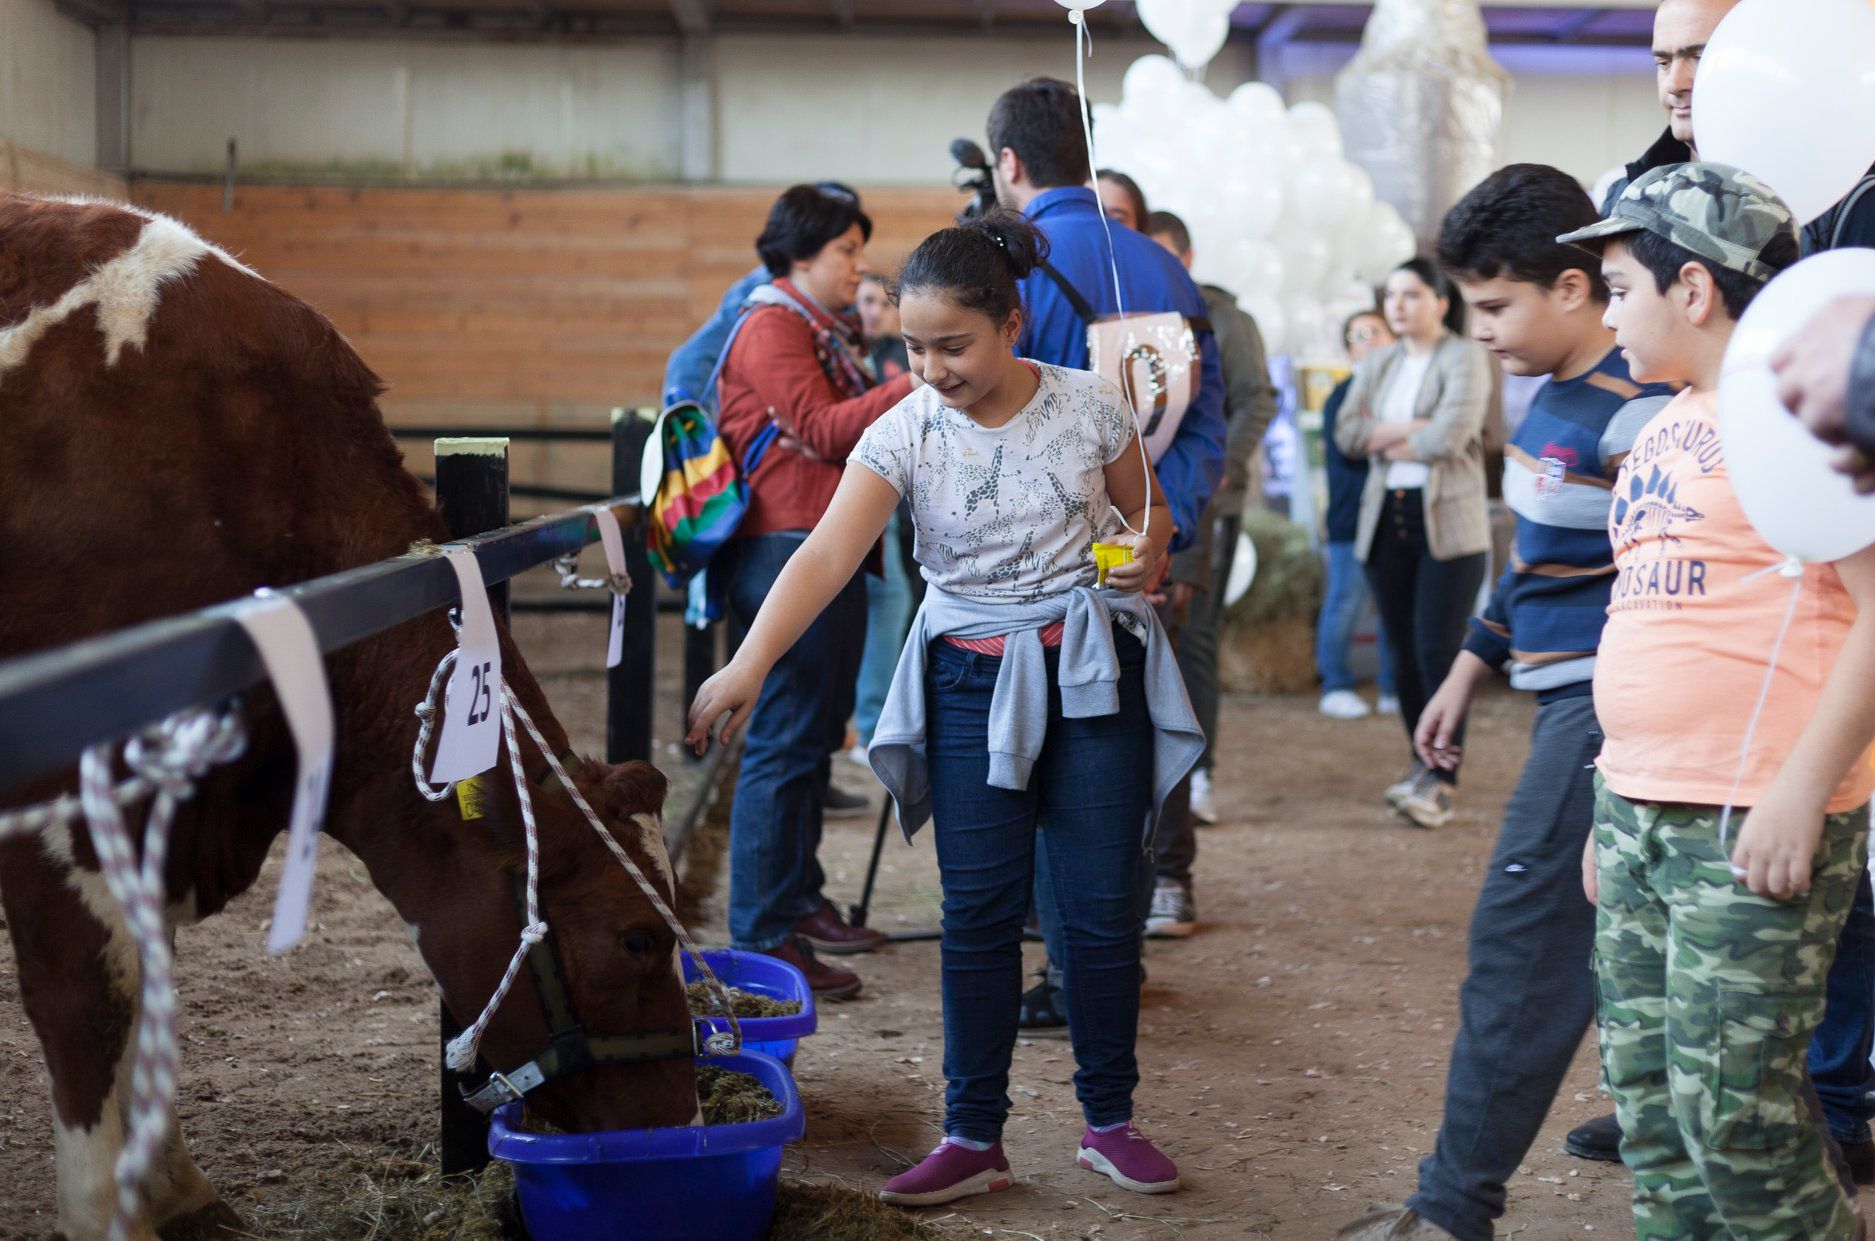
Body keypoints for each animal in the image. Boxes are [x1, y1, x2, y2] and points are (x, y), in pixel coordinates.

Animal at [0, 194, 699, 1239]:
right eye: (635, 939)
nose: (684, 1125)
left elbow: (149, 978)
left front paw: (175, 1184)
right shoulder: (61, 790)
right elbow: (90, 996)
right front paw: (108, 1212)